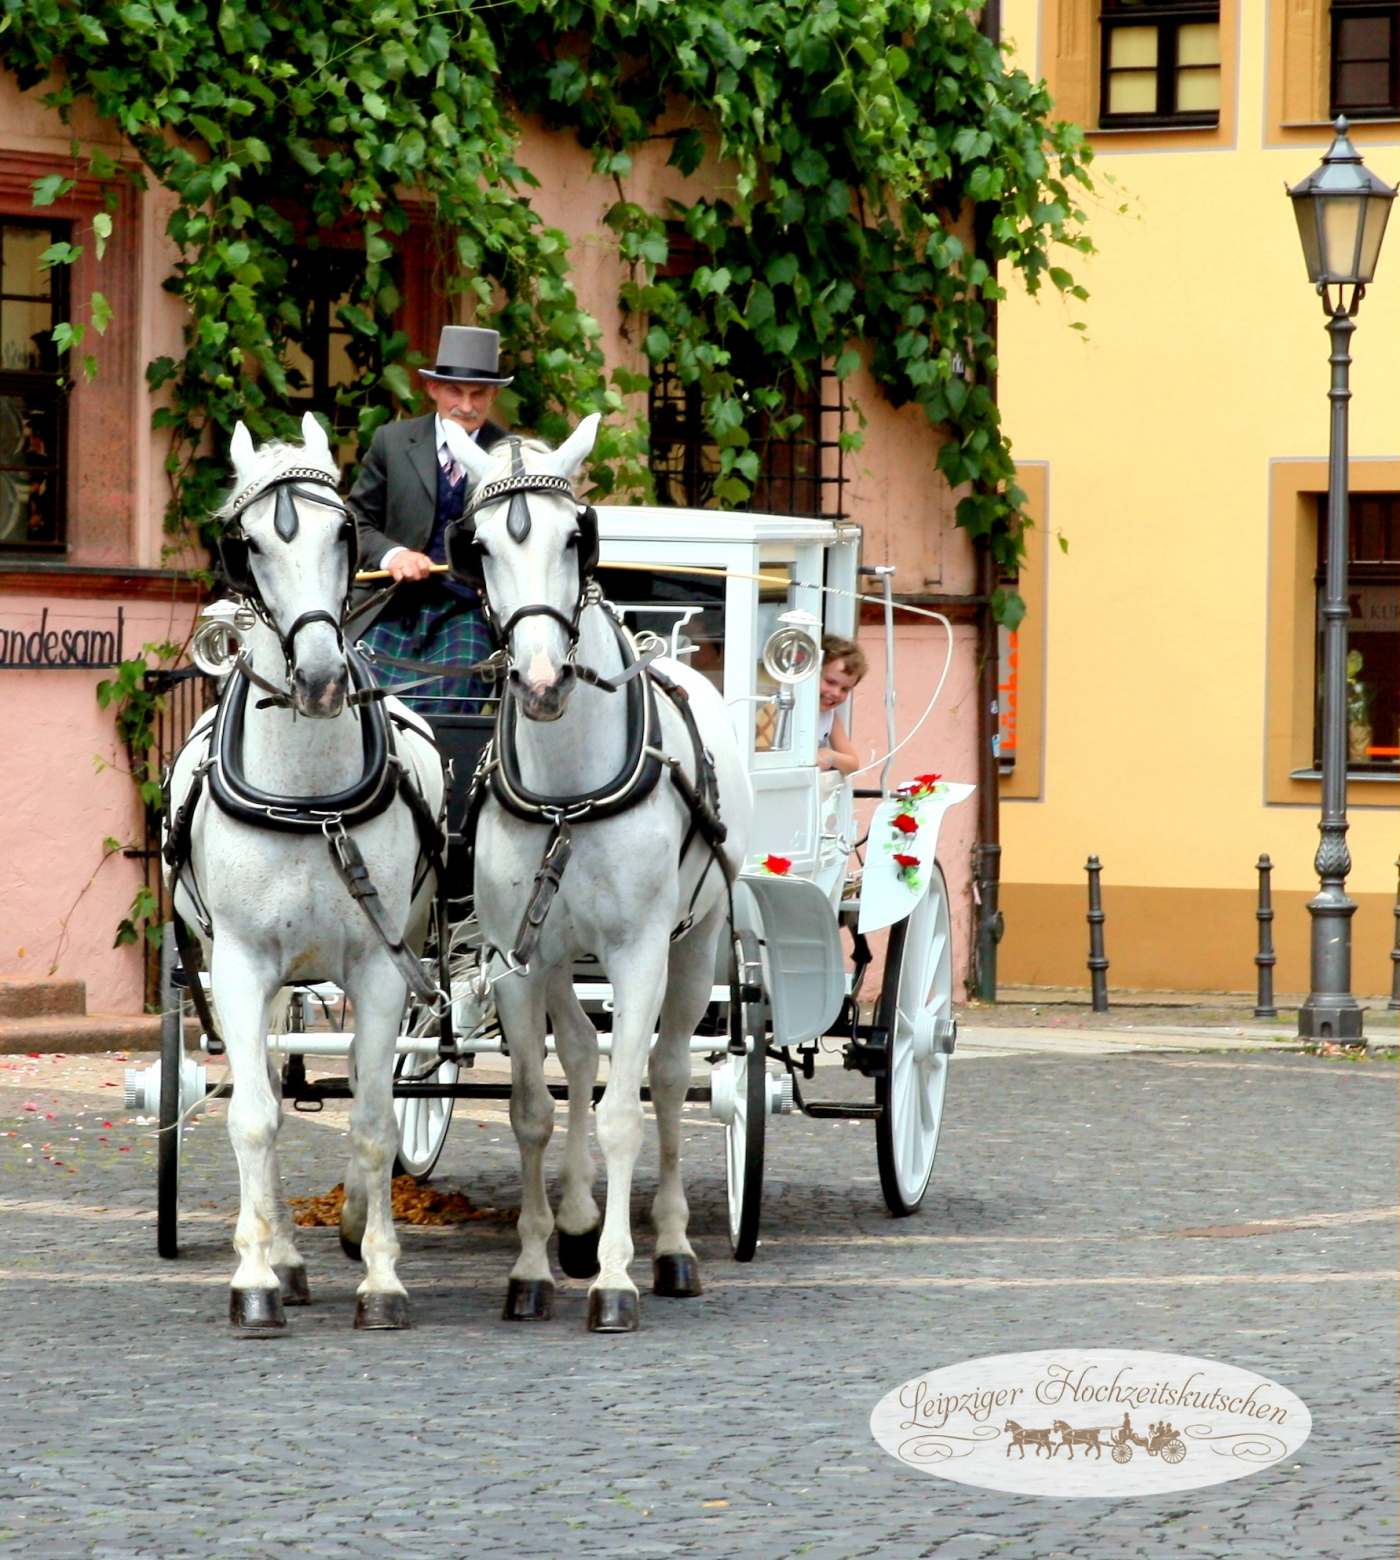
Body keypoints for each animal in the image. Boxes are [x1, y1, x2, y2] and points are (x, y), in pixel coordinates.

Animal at [163, 411, 449, 1329]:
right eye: (247, 543)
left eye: (343, 533)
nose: (322, 680)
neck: (309, 799)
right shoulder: (239, 965)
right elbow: (255, 1120)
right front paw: (257, 1276)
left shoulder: (383, 968)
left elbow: (375, 1120)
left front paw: (381, 1272)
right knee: (270, 1100)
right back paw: (283, 1254)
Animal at [446, 411, 755, 1329]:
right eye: (476, 544)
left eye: (574, 537)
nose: (544, 682)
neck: (566, 790)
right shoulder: (515, 957)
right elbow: (531, 1107)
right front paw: (534, 1267)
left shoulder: (638, 950)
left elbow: (626, 1108)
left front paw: (617, 1278)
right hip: (556, 956)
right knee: (581, 1056)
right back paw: (579, 1221)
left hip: (696, 943)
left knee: (669, 1072)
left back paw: (673, 1247)